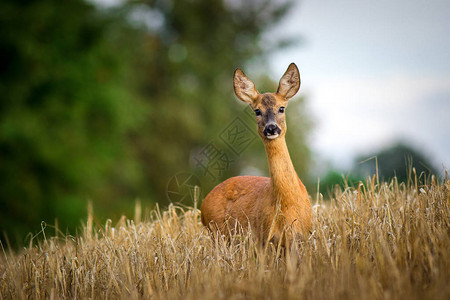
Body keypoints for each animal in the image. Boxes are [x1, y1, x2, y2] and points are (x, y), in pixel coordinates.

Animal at [201, 62, 312, 246]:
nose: (271, 128)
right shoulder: (265, 238)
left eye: (281, 108)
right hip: (218, 234)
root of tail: (203, 205)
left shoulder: (301, 237)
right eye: (257, 111)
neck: (287, 207)